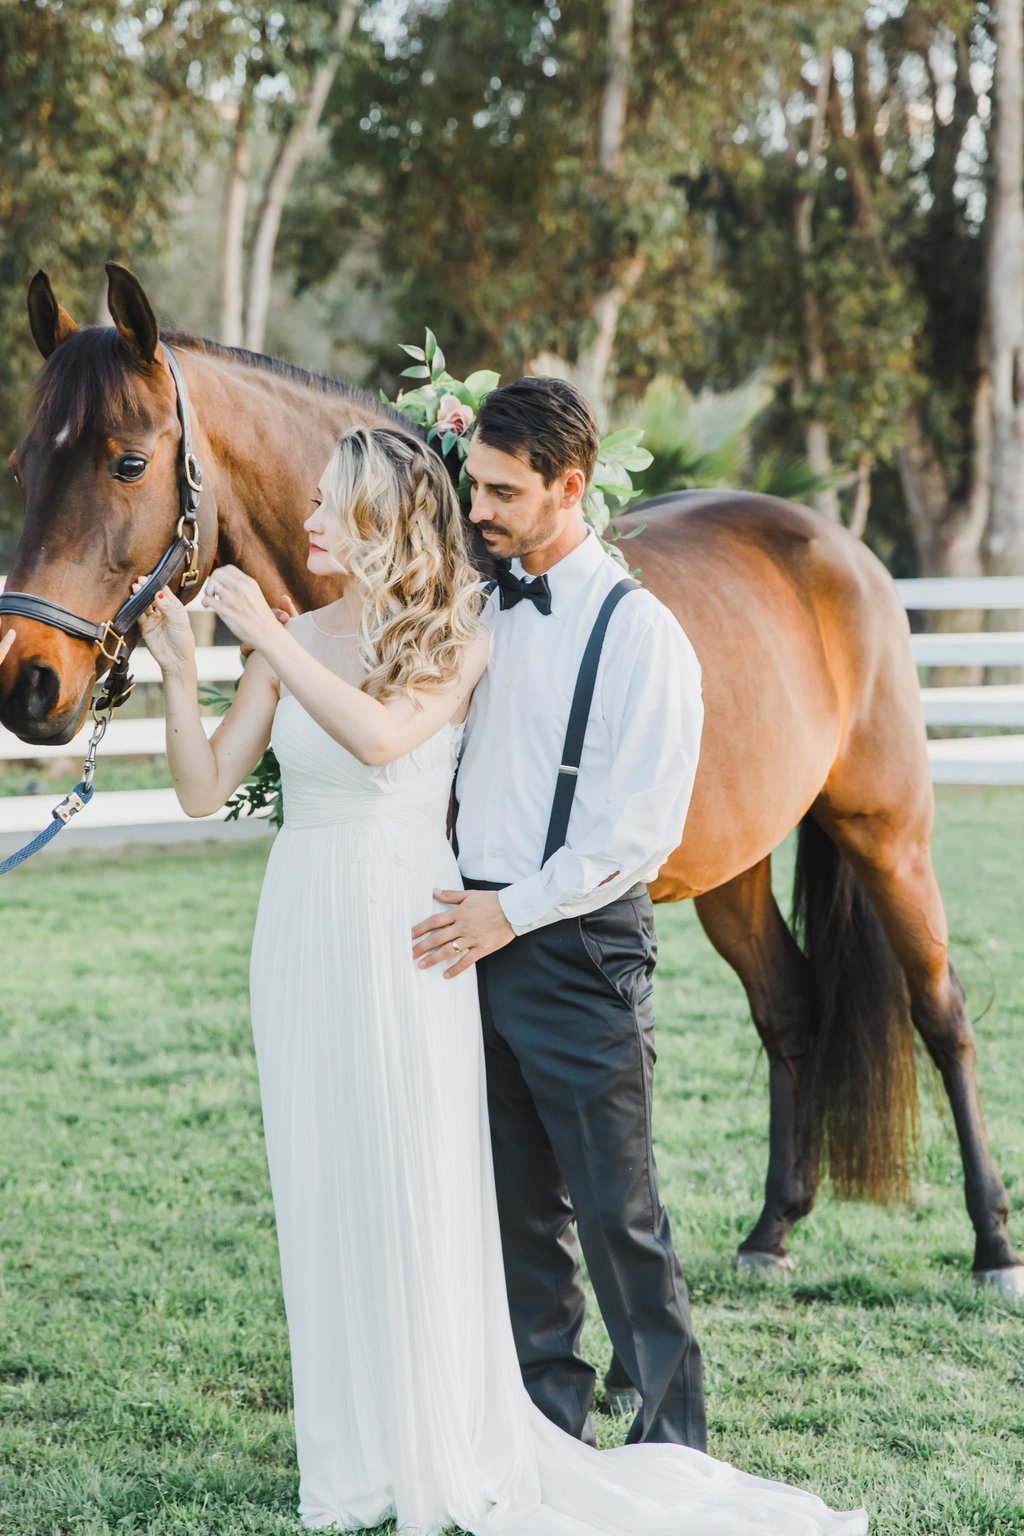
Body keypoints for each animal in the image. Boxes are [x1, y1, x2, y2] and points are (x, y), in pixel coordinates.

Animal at [4, 267, 1019, 1296]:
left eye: (129, 464)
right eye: (23, 468)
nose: (27, 681)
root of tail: (835, 546)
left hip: (887, 832)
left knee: (941, 1014)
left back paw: (992, 1244)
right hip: (734, 870)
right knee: (791, 1010)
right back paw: (772, 1229)